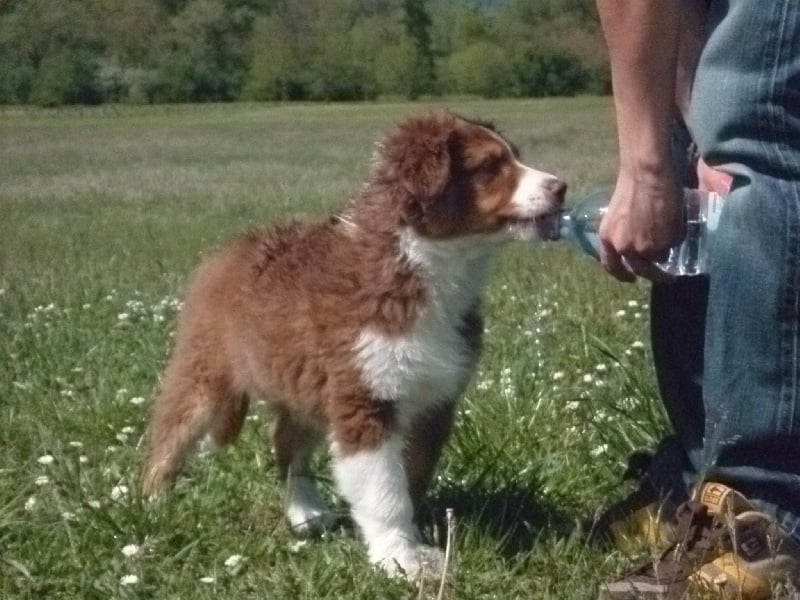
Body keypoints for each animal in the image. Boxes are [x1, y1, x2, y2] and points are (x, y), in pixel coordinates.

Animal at [145, 111, 568, 576]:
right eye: (490, 166)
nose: (561, 187)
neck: (430, 266)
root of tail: (227, 250)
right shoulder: (364, 397)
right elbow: (385, 491)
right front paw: (400, 558)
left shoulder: (434, 401)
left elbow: (411, 478)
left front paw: (411, 543)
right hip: (203, 373)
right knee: (170, 438)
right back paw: (151, 505)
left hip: (304, 388)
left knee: (288, 446)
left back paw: (305, 513)